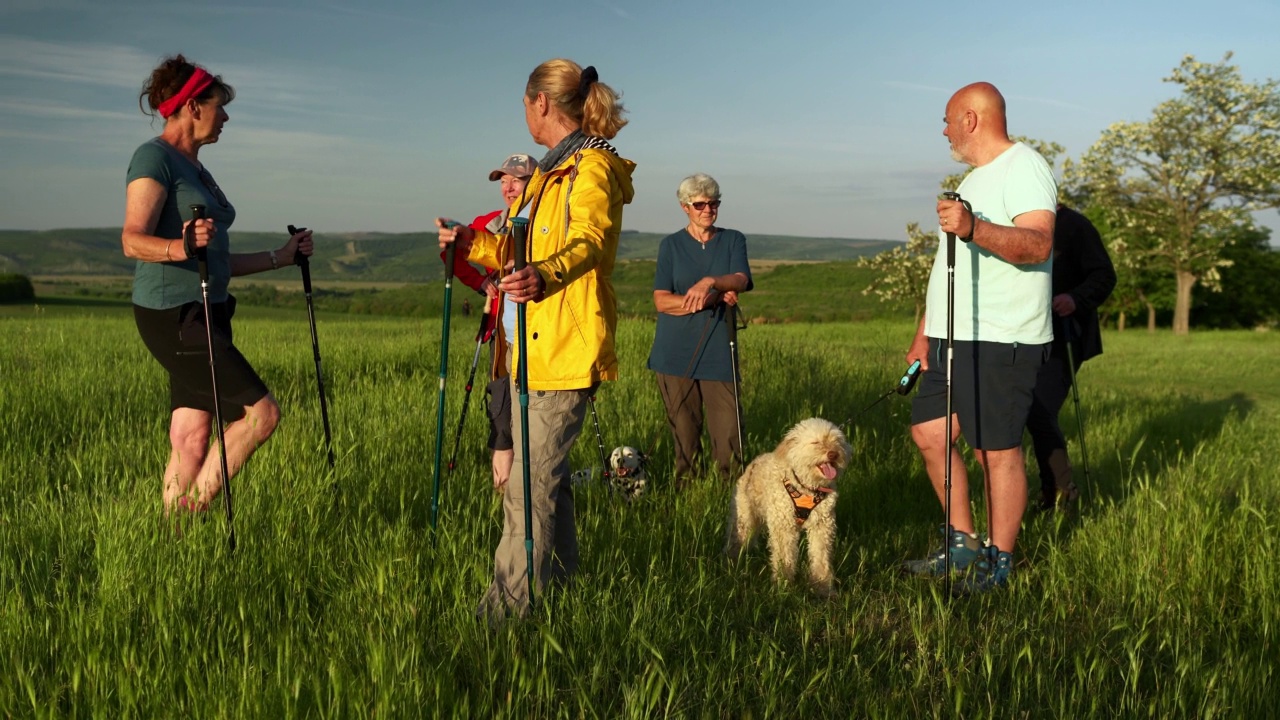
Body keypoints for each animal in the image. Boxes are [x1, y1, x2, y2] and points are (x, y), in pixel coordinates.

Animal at [732, 415, 849, 594]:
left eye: (837, 441)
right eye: (815, 442)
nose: (833, 454)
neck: (807, 487)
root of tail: (753, 463)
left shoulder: (822, 526)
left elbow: (821, 558)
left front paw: (824, 588)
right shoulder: (783, 527)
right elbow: (784, 557)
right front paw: (782, 586)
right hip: (745, 517)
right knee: (736, 539)